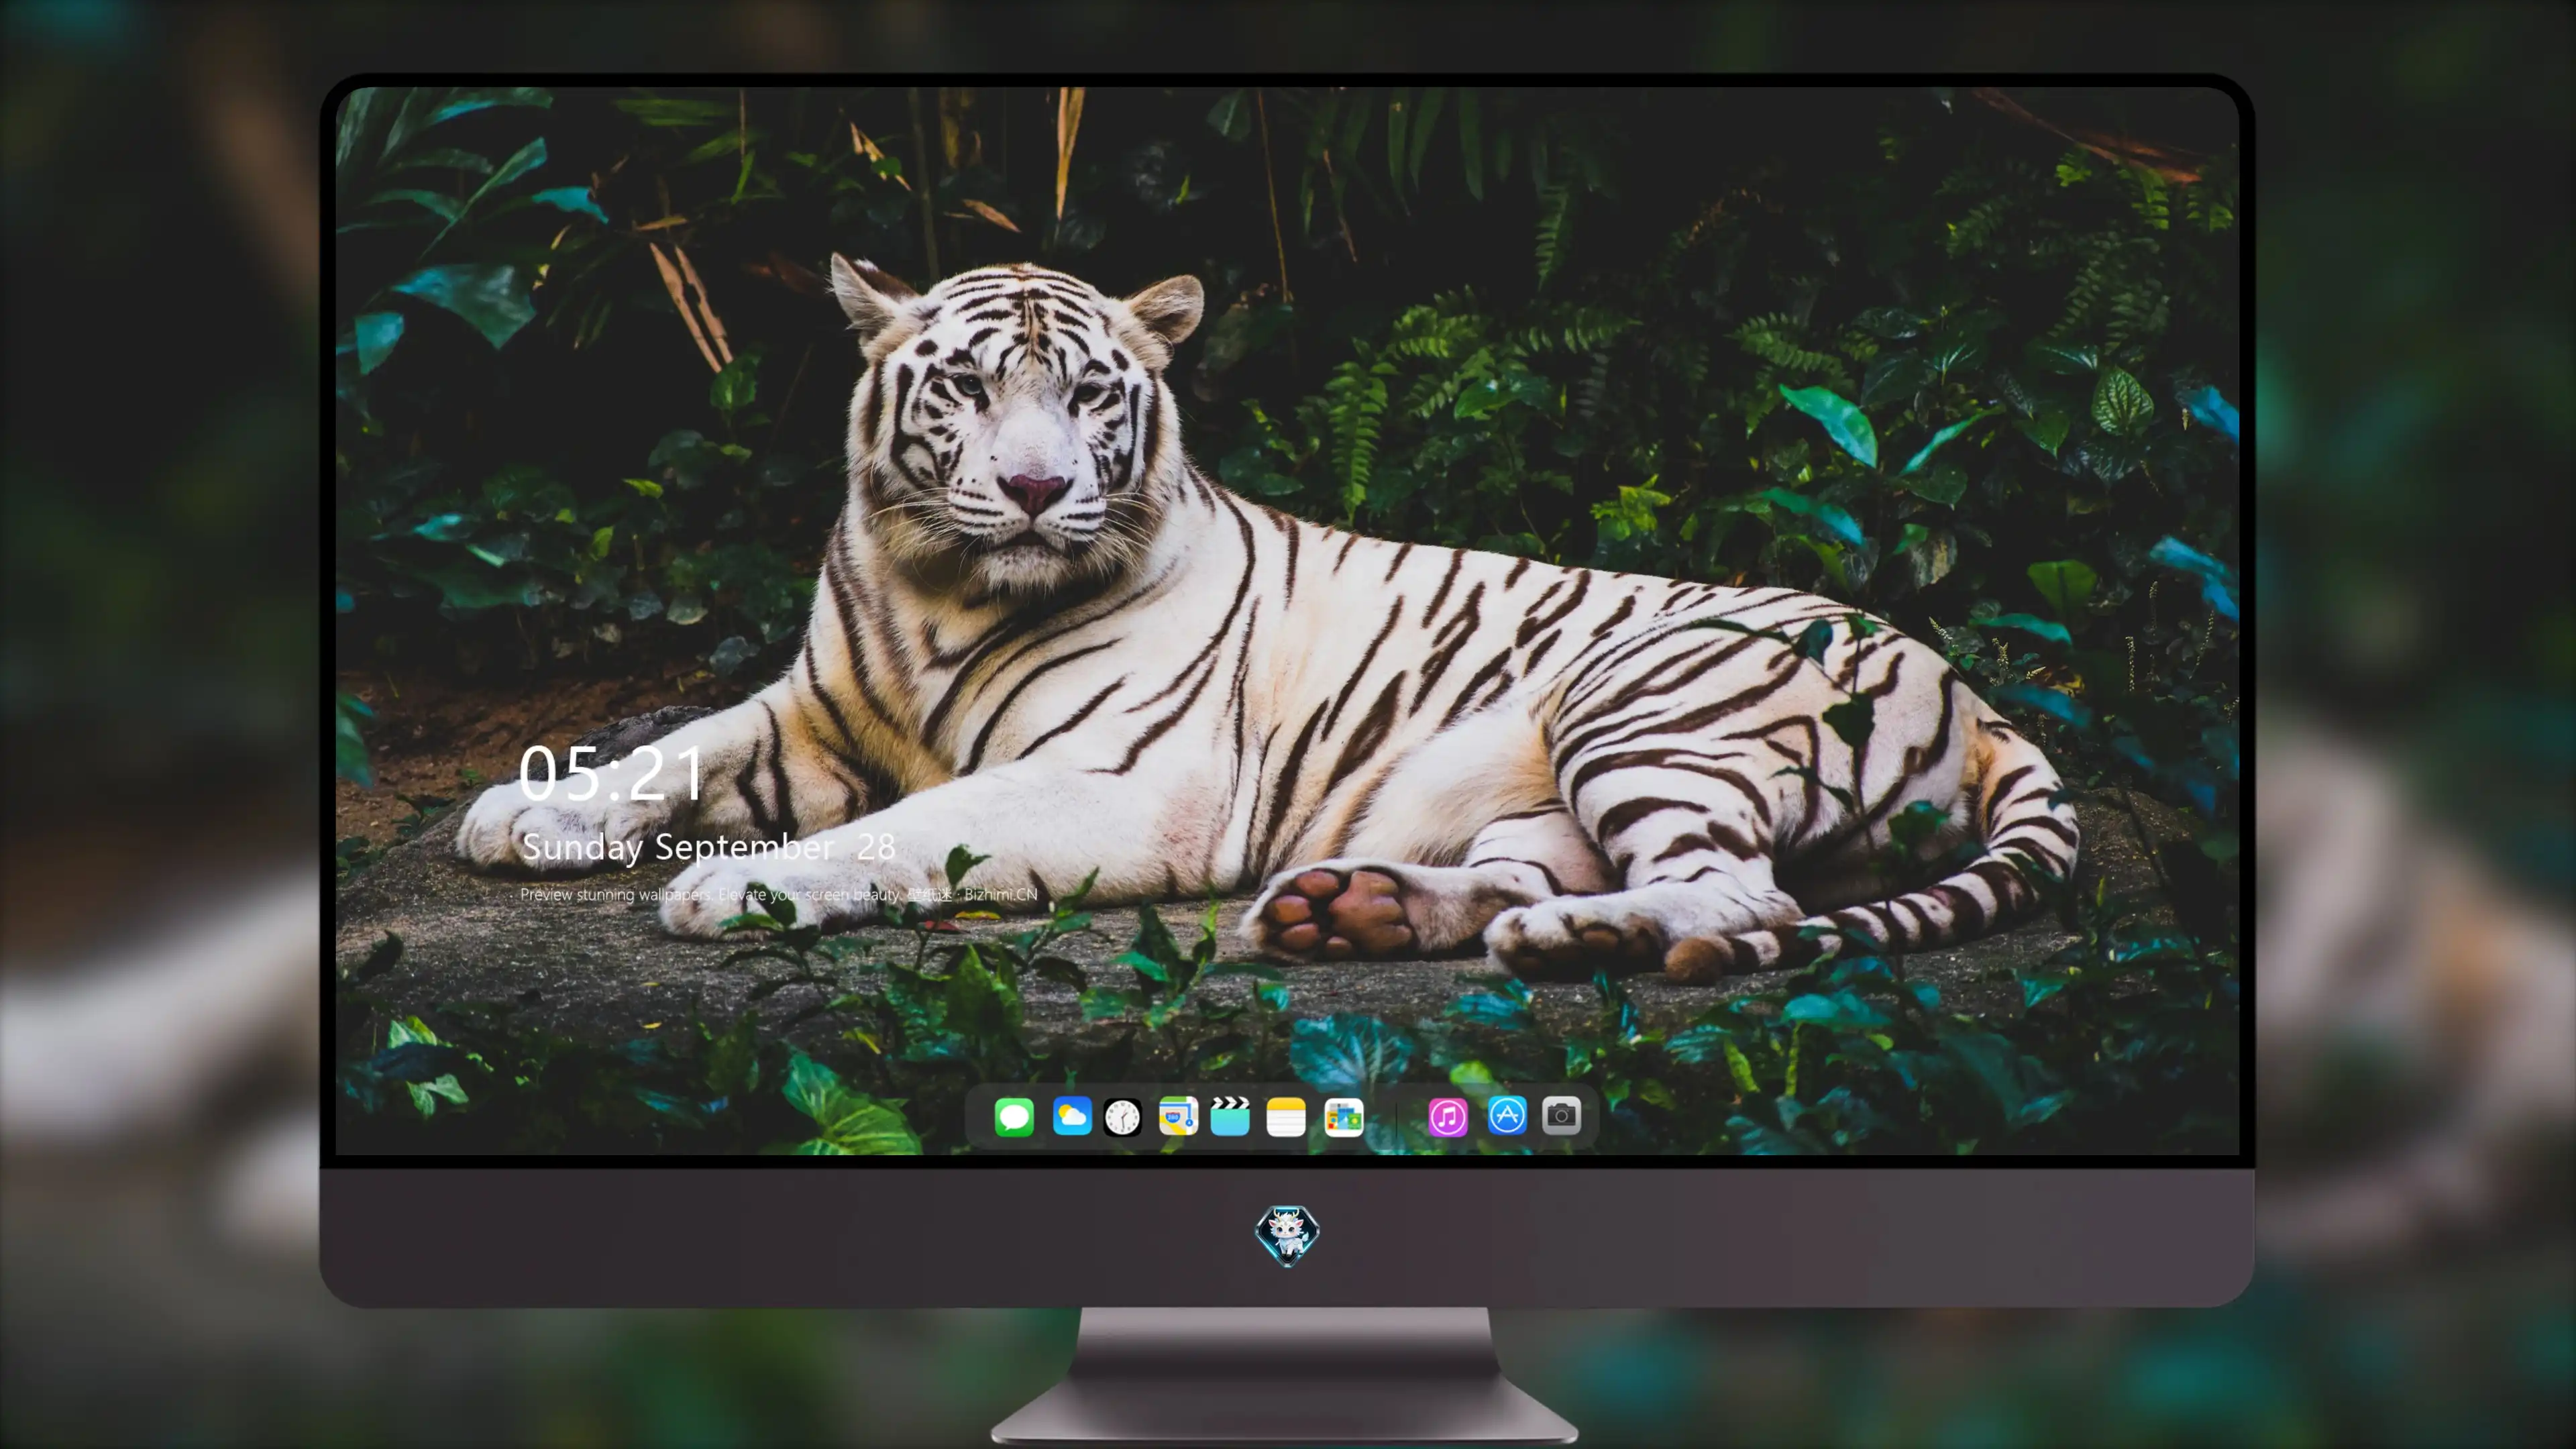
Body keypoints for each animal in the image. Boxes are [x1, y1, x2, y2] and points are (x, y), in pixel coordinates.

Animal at [455, 257, 2080, 981]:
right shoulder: (812, 710)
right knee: (1548, 871)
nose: (1037, 489)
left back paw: (1577, 940)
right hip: (1545, 789)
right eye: (969, 388)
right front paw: (520, 814)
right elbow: (676, 745)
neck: (939, 589)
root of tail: (1980, 696)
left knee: (1745, 897)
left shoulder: (1122, 785)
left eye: (1088, 394)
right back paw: (1355, 909)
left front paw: (737, 891)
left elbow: (908, 830)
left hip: (1644, 703)